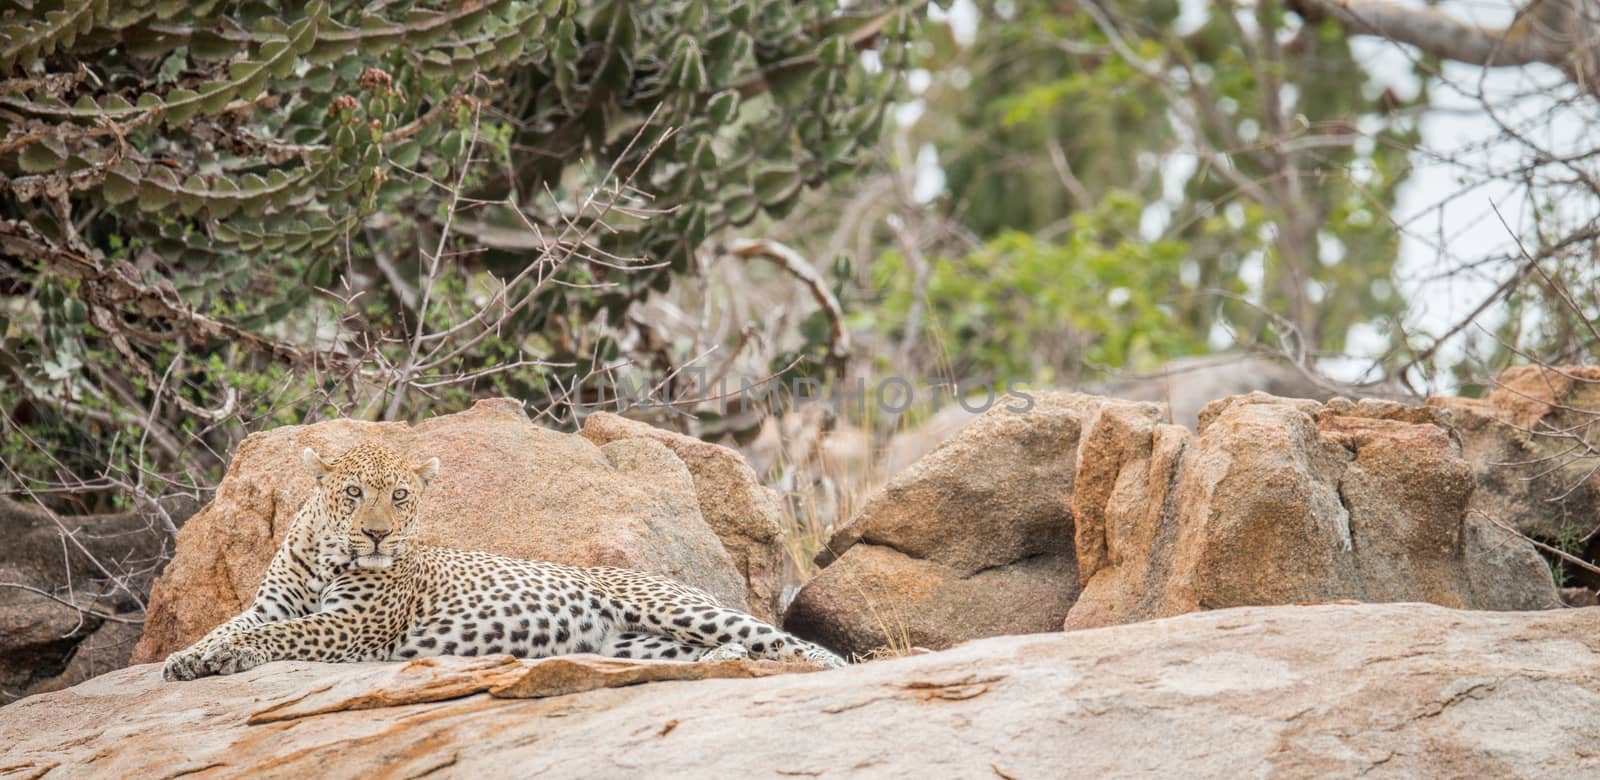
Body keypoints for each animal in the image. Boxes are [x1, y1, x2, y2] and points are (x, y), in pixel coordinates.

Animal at [165, 441, 851, 680]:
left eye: (401, 496)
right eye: (354, 493)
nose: (379, 536)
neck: (326, 553)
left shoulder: (354, 625)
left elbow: (279, 635)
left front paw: (224, 657)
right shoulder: (269, 605)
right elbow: (233, 625)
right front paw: (188, 657)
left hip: (677, 608)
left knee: (787, 641)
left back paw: (820, 666)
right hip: (635, 643)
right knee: (725, 648)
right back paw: (723, 662)